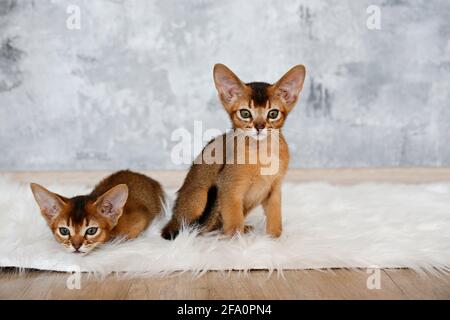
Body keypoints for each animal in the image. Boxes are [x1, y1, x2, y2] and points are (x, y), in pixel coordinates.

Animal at [163, 63, 308, 240]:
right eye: (245, 113)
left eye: (273, 113)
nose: (259, 127)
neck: (261, 154)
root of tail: (173, 219)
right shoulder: (230, 189)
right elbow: (233, 221)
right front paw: (236, 242)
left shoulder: (274, 189)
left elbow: (275, 217)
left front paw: (274, 239)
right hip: (199, 197)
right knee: (198, 228)